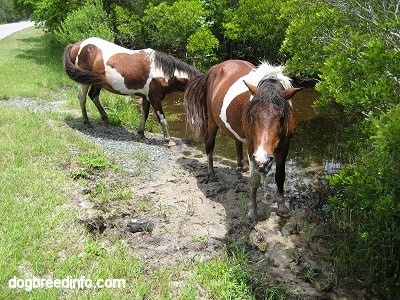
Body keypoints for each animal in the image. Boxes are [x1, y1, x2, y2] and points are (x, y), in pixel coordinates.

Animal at [62, 37, 202, 146]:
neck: (161, 72)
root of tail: (76, 45)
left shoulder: (146, 97)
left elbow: (145, 115)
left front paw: (141, 134)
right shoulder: (155, 98)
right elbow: (162, 119)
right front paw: (169, 140)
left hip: (97, 81)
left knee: (93, 96)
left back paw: (106, 121)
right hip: (84, 81)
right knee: (82, 98)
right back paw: (87, 123)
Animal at [184, 60, 300, 220]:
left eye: (282, 117)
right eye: (251, 115)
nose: (263, 161)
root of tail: (215, 69)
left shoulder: (284, 146)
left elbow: (280, 176)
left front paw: (282, 207)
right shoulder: (253, 147)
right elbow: (254, 179)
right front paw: (252, 211)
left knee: (237, 142)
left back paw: (240, 167)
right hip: (212, 123)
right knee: (209, 147)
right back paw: (211, 175)